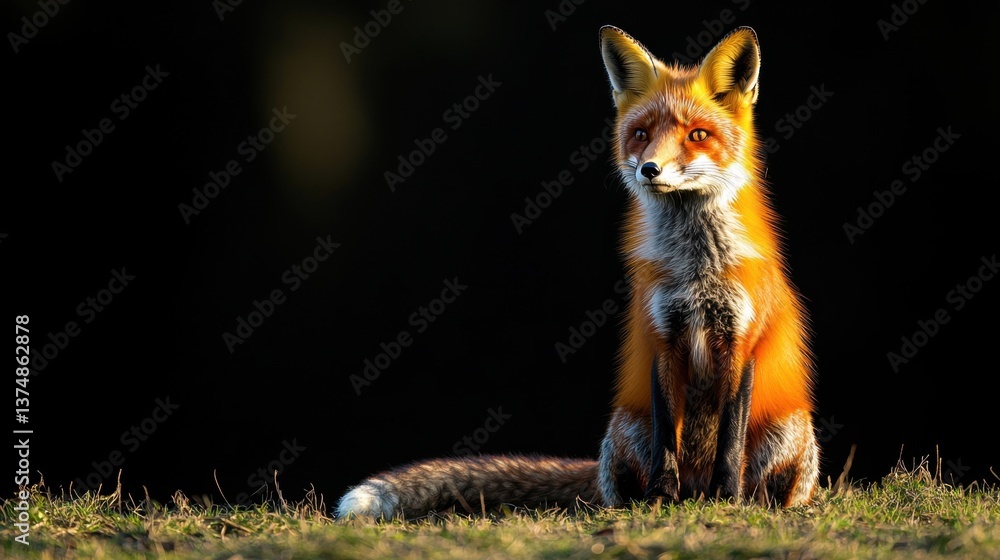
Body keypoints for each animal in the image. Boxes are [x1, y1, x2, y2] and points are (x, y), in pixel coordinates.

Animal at [336, 25, 818, 520]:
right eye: (641, 134)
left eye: (698, 134)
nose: (650, 169)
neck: (696, 269)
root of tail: (694, 489)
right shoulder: (662, 337)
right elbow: (667, 437)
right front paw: (660, 497)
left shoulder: (741, 342)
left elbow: (730, 439)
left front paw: (727, 497)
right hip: (626, 427)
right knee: (621, 485)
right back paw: (650, 501)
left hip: (784, 431)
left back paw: (748, 501)